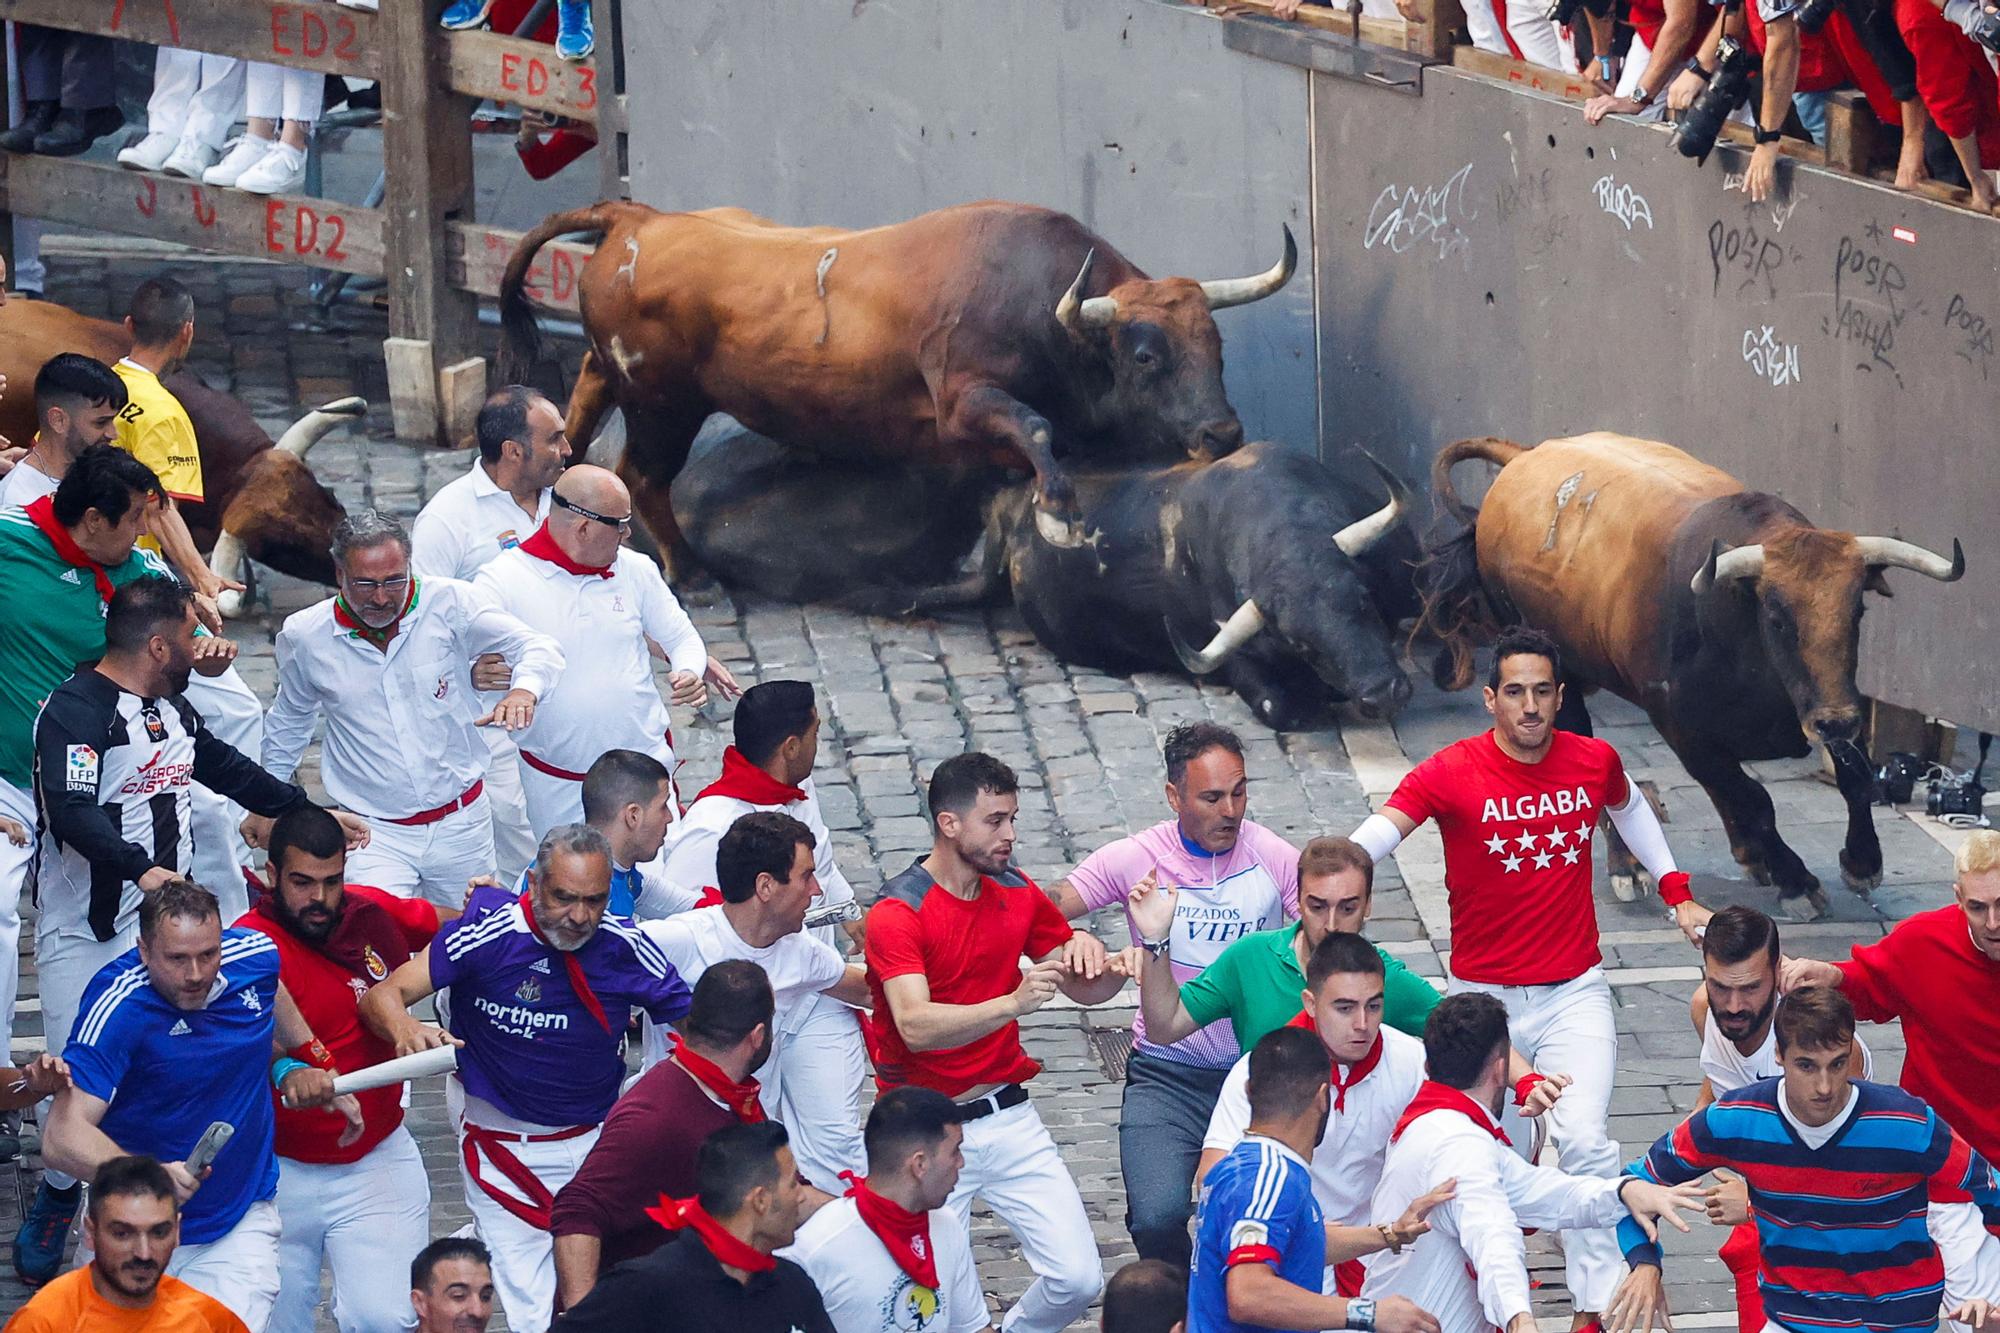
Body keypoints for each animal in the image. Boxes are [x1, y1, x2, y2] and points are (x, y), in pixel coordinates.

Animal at [500, 195, 1296, 580]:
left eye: (1215, 345)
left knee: (578, 423)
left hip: (615, 376)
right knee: (640, 473)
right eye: (1145, 354)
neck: (1042, 303)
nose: (1222, 433)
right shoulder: (961, 406)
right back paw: (690, 569)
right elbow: (1034, 429)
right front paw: (1059, 513)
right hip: (662, 402)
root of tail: (637, 218)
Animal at [1424, 430, 1968, 920]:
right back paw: (1628, 866)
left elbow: (1854, 779)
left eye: (1857, 611)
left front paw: (1861, 861)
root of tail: (1523, 456)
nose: (1836, 721)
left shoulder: (1821, 704)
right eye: (1777, 618)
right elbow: (1754, 799)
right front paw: (1798, 883)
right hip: (1559, 677)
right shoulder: (1682, 728)